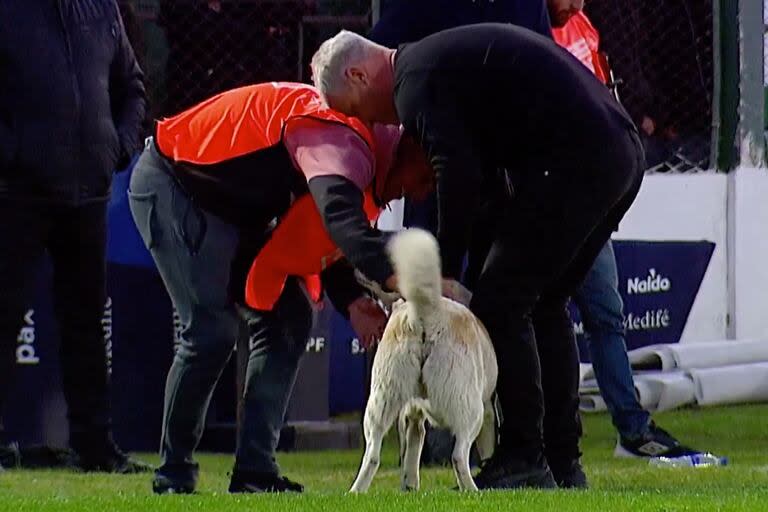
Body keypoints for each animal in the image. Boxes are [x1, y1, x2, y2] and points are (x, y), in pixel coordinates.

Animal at [350, 229, 498, 492]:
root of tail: (426, 314)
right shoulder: (489, 410)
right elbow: (487, 450)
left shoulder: (413, 414)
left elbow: (411, 454)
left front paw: (410, 488)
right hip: (471, 409)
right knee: (458, 455)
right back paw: (473, 491)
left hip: (381, 401)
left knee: (372, 455)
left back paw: (356, 491)